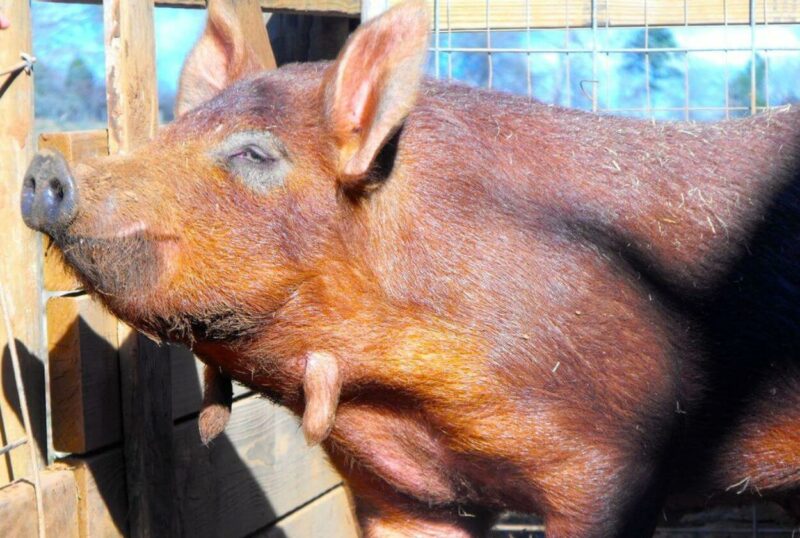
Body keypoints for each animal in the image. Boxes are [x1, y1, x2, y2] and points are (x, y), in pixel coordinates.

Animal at [20, 0, 800, 536]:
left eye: (253, 153)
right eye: (173, 130)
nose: (46, 168)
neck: (397, 396)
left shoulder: (614, 462)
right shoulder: (397, 488)